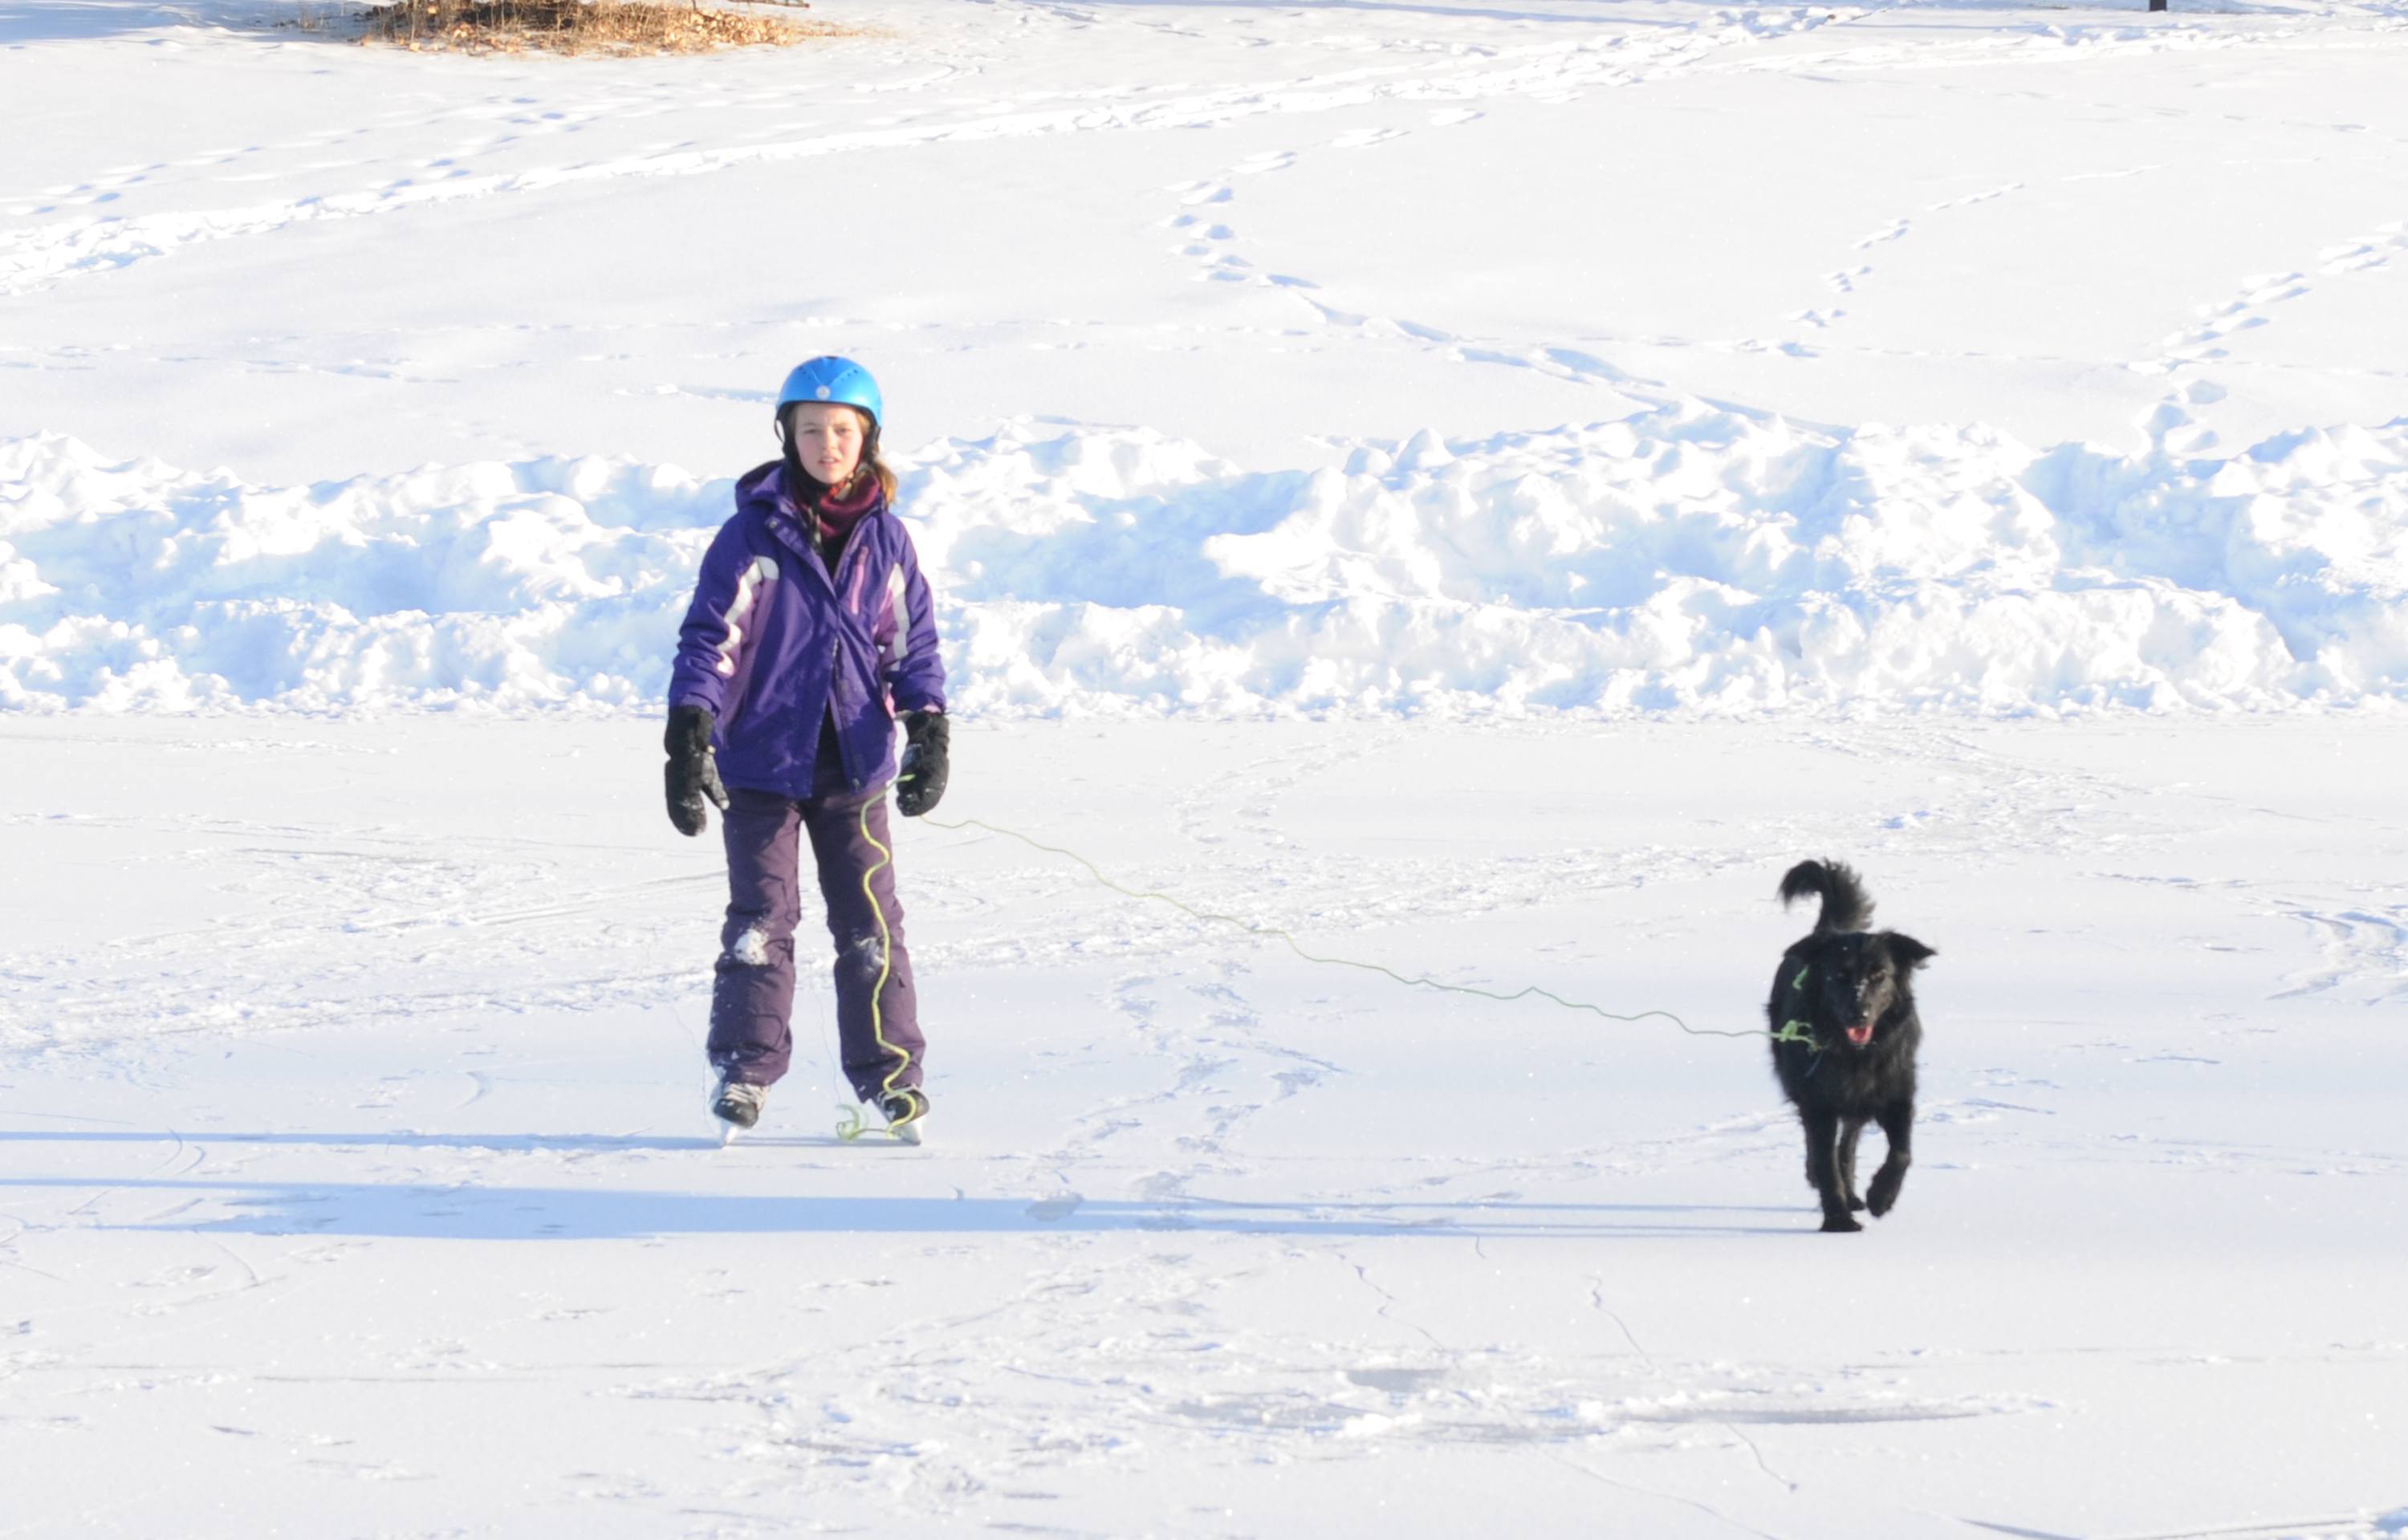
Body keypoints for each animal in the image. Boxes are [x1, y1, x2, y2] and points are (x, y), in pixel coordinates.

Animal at [1772, 861, 1936, 1232]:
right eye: (1838, 975)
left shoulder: (1896, 1094)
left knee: (1847, 1145)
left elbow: (1902, 1153)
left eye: (1880, 975)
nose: (1858, 1013)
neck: (1856, 1055)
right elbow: (1824, 1159)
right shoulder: (1818, 1103)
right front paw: (1837, 1220)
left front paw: (1881, 1197)